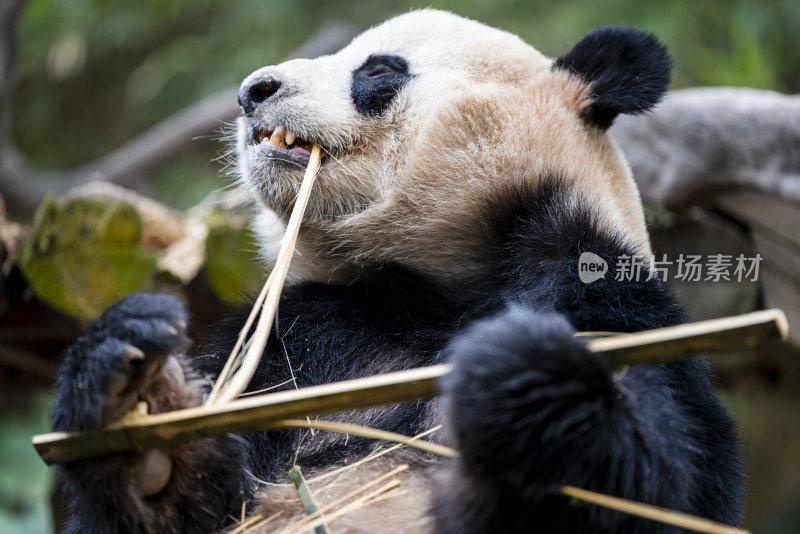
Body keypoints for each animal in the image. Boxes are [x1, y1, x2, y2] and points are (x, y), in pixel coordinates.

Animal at [53, 9, 748, 534]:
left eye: (379, 70)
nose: (253, 91)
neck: (434, 280)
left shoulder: (603, 293)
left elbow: (670, 482)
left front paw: (521, 373)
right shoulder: (306, 333)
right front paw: (140, 418)